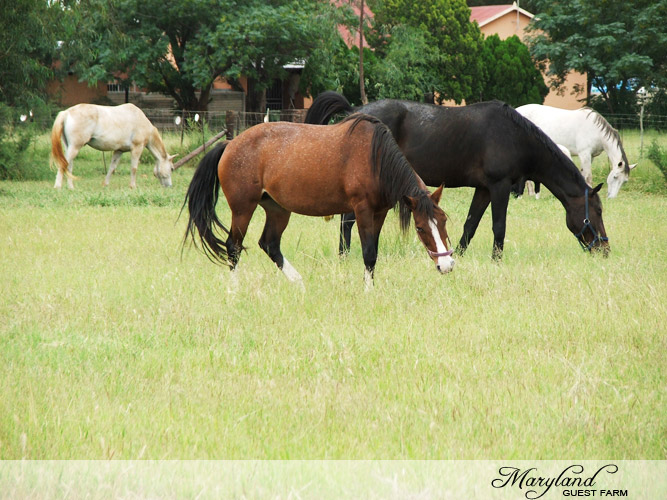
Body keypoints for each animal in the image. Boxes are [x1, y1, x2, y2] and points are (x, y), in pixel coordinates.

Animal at [182, 114, 455, 287]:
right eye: (420, 228)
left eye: (443, 221)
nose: (447, 264)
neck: (375, 159)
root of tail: (229, 144)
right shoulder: (362, 210)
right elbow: (368, 253)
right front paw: (368, 292)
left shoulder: (379, 213)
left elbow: (373, 254)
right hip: (242, 209)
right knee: (234, 247)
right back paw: (234, 290)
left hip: (278, 209)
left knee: (269, 244)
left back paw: (298, 283)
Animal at [304, 92, 610, 259]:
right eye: (597, 211)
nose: (604, 249)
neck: (514, 136)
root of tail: (356, 111)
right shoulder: (499, 187)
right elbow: (499, 227)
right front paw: (497, 261)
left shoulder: (484, 189)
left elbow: (470, 225)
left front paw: (458, 254)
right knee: (347, 220)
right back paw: (345, 256)